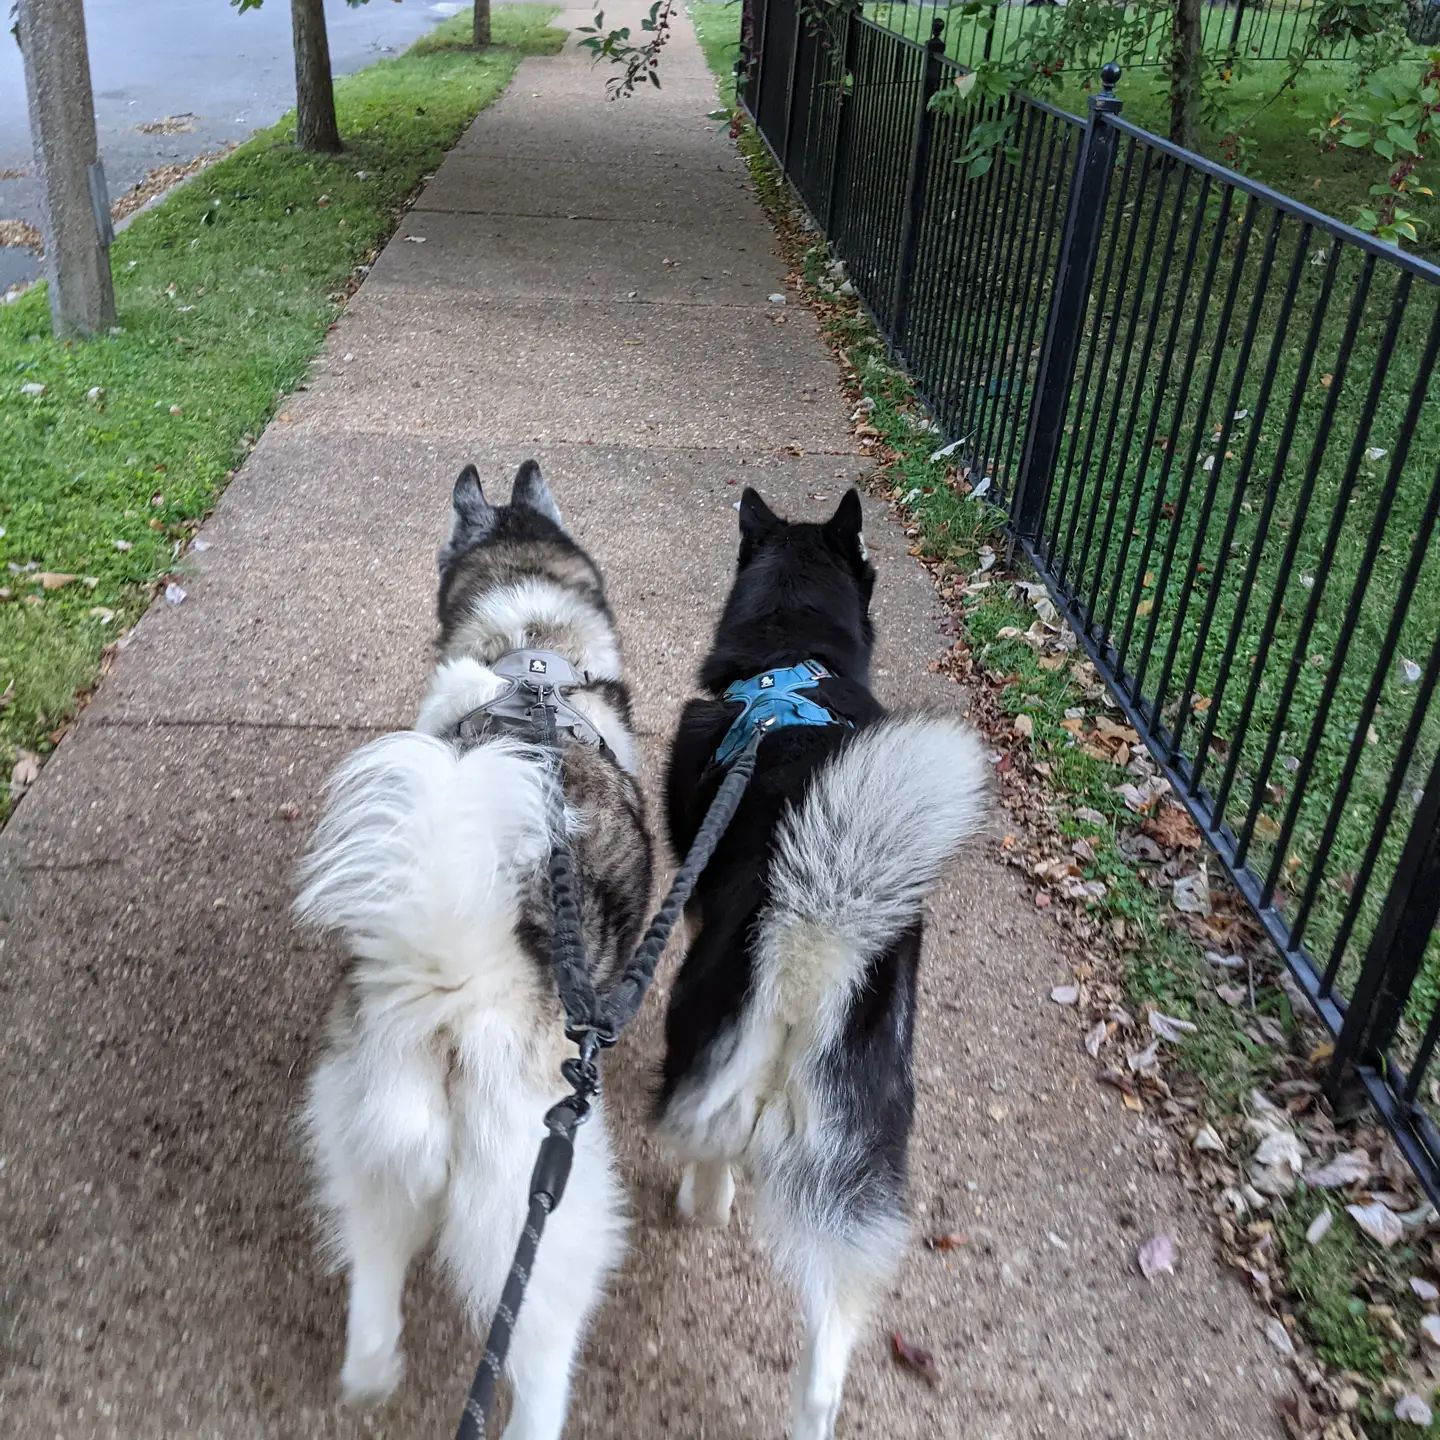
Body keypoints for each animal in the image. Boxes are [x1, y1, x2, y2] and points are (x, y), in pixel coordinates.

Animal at [296, 460, 653, 1440]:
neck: (531, 649)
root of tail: (456, 986)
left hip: (367, 1140)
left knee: (375, 1273)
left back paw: (372, 1371)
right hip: (545, 1201)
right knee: (537, 1357)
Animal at [656, 486, 984, 1440]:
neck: (789, 661)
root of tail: (815, 937)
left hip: (702, 1043)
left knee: (708, 1153)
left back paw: (699, 1203)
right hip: (861, 1149)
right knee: (827, 1359)